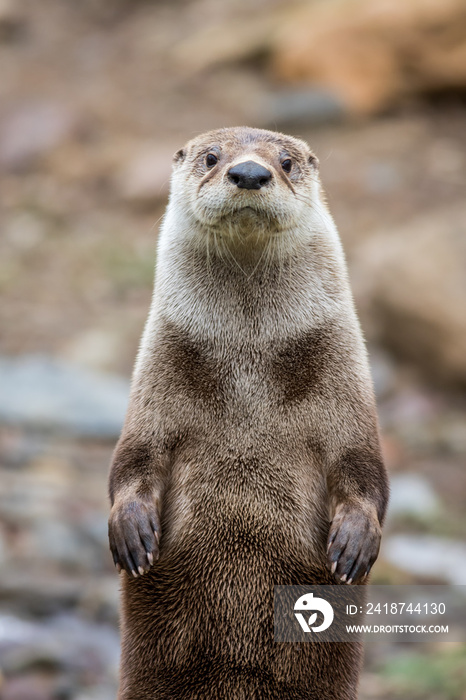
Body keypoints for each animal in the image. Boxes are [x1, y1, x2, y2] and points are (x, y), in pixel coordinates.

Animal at [107, 127, 388, 700]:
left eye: (285, 162)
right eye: (212, 157)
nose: (250, 173)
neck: (249, 364)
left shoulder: (348, 392)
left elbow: (364, 467)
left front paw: (355, 538)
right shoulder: (154, 385)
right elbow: (134, 457)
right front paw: (131, 525)